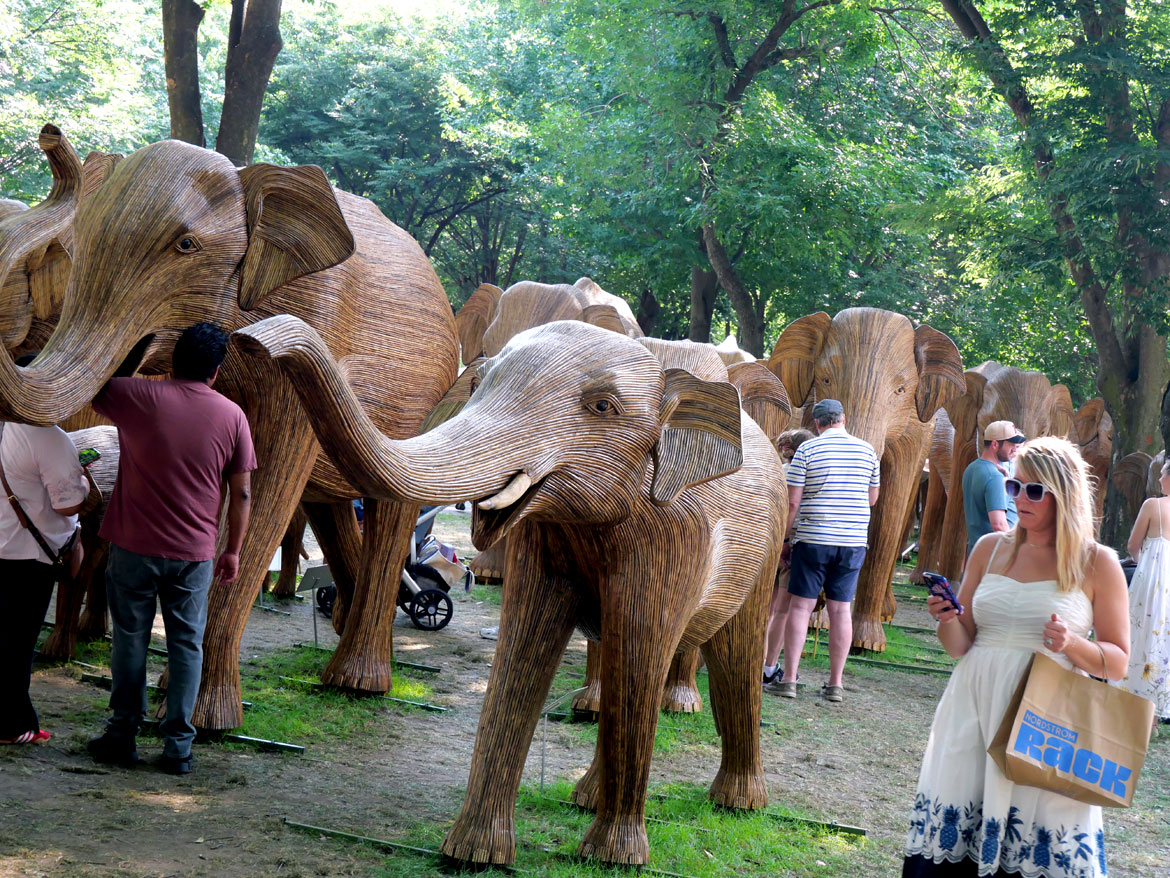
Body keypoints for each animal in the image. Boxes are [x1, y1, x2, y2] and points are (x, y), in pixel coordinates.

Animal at [0, 128, 459, 730]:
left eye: (185, 246)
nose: (51, 135)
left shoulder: (309, 328)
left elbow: (260, 487)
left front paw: (203, 717)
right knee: (331, 506)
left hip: (422, 403)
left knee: (391, 513)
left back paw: (359, 682)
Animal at [233, 314, 788, 867]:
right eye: (478, 382)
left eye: (602, 407)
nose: (257, 338)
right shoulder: (542, 536)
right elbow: (523, 650)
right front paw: (472, 854)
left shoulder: (674, 536)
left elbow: (639, 657)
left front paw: (612, 859)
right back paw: (585, 798)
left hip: (767, 549)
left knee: (735, 655)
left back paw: (736, 804)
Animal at [766, 307, 965, 651]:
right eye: (826, 379)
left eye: (900, 390)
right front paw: (820, 625)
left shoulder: (914, 430)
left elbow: (889, 514)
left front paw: (867, 644)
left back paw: (883, 615)